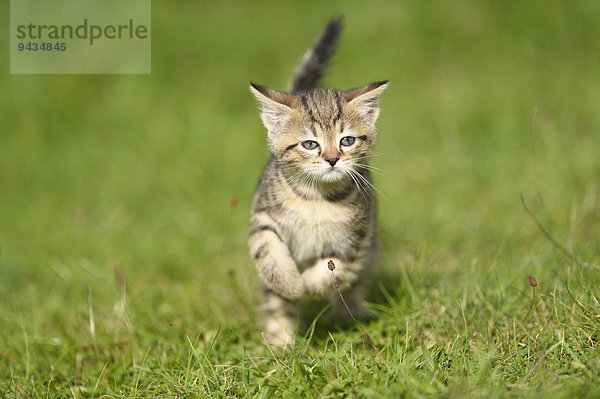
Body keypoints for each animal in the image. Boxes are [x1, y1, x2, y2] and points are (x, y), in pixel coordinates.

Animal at [248, 16, 390, 346]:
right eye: (310, 144)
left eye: (346, 140)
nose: (332, 159)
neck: (315, 198)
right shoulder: (262, 217)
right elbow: (267, 251)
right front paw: (292, 284)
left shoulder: (356, 237)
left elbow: (335, 269)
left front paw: (310, 285)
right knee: (276, 304)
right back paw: (281, 343)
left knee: (353, 288)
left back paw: (352, 314)